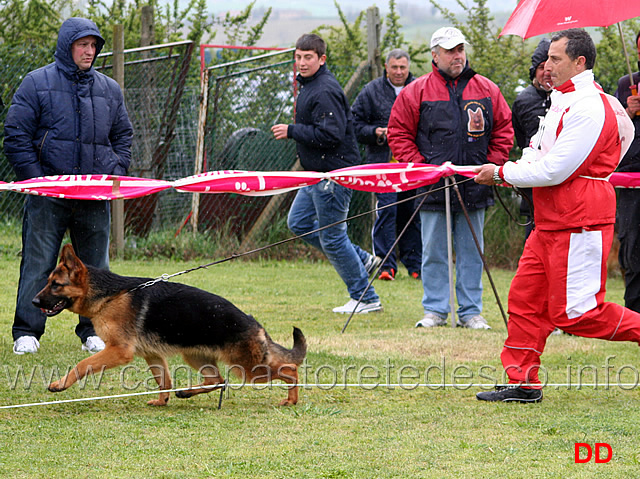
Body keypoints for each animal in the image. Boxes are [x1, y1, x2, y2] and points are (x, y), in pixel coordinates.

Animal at [32, 246, 308, 406]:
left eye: (55, 285)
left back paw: (291, 400)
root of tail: (253, 322)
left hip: (248, 368)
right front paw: (162, 401)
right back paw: (186, 393)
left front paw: (60, 384)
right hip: (196, 356)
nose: (34, 301)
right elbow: (164, 381)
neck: (109, 296)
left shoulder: (118, 351)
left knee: (290, 369)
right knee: (218, 380)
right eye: (48, 282)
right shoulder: (152, 355)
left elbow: (82, 365)